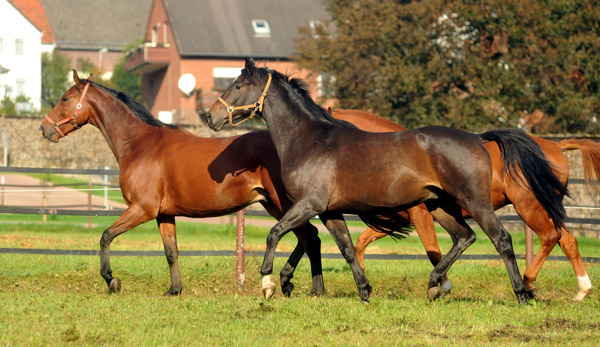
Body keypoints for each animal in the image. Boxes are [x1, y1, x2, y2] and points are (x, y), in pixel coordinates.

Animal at [39, 70, 326, 296]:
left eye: (65, 98)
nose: (44, 128)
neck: (140, 144)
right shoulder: (163, 215)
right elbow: (171, 252)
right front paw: (174, 289)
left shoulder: (142, 209)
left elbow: (105, 237)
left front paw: (112, 280)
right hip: (274, 205)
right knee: (308, 238)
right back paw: (295, 284)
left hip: (284, 204)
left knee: (309, 237)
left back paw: (298, 286)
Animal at [205, 59, 568, 304]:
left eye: (237, 86)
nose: (210, 116)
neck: (310, 141)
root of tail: (478, 139)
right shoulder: (329, 212)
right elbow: (347, 249)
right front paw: (365, 291)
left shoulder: (308, 204)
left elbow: (274, 233)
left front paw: (268, 284)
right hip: (440, 206)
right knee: (464, 238)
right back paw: (434, 283)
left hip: (476, 203)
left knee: (502, 239)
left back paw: (522, 293)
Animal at [332, 109, 596, 302]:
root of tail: (557, 146)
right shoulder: (397, 219)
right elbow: (359, 242)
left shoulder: (420, 216)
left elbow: (432, 250)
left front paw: (441, 287)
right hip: (546, 209)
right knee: (568, 240)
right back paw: (581, 291)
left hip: (529, 207)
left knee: (550, 237)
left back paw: (528, 282)